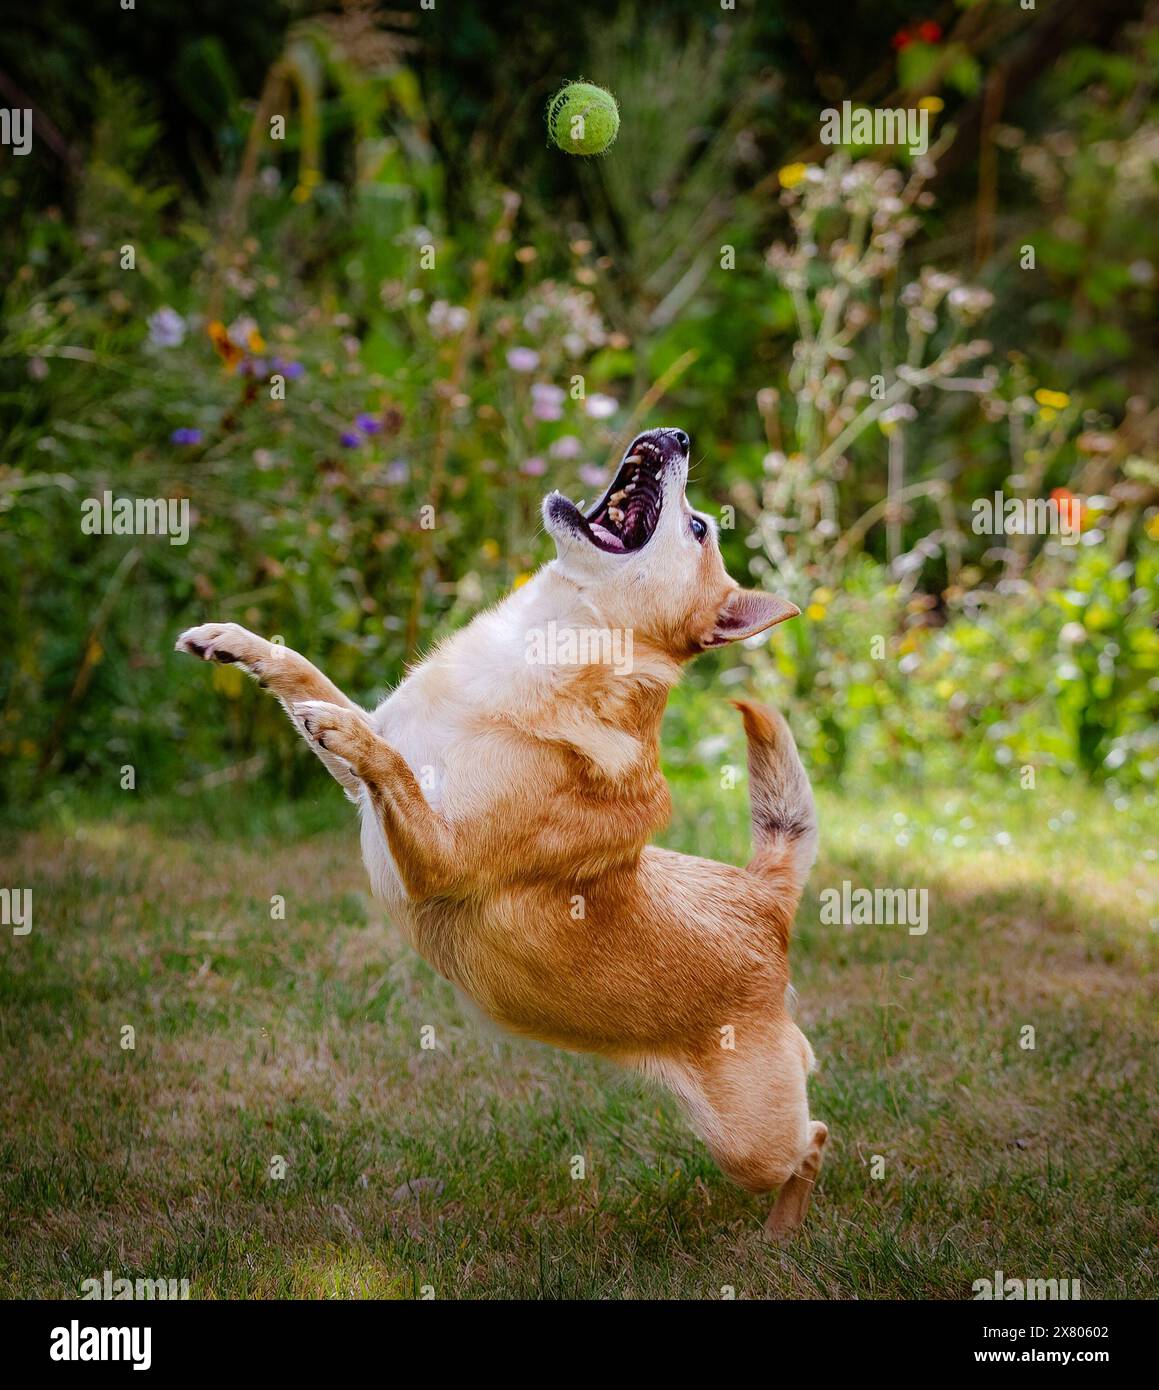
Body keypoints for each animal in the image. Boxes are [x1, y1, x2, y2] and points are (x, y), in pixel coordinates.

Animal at [176, 425, 828, 1239]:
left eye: (700, 529)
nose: (678, 434)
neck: (541, 648)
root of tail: (763, 896)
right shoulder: (364, 793)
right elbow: (310, 681)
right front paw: (242, 644)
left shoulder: (436, 856)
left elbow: (385, 758)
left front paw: (346, 730)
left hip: (749, 1141)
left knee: (812, 1140)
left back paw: (780, 1235)